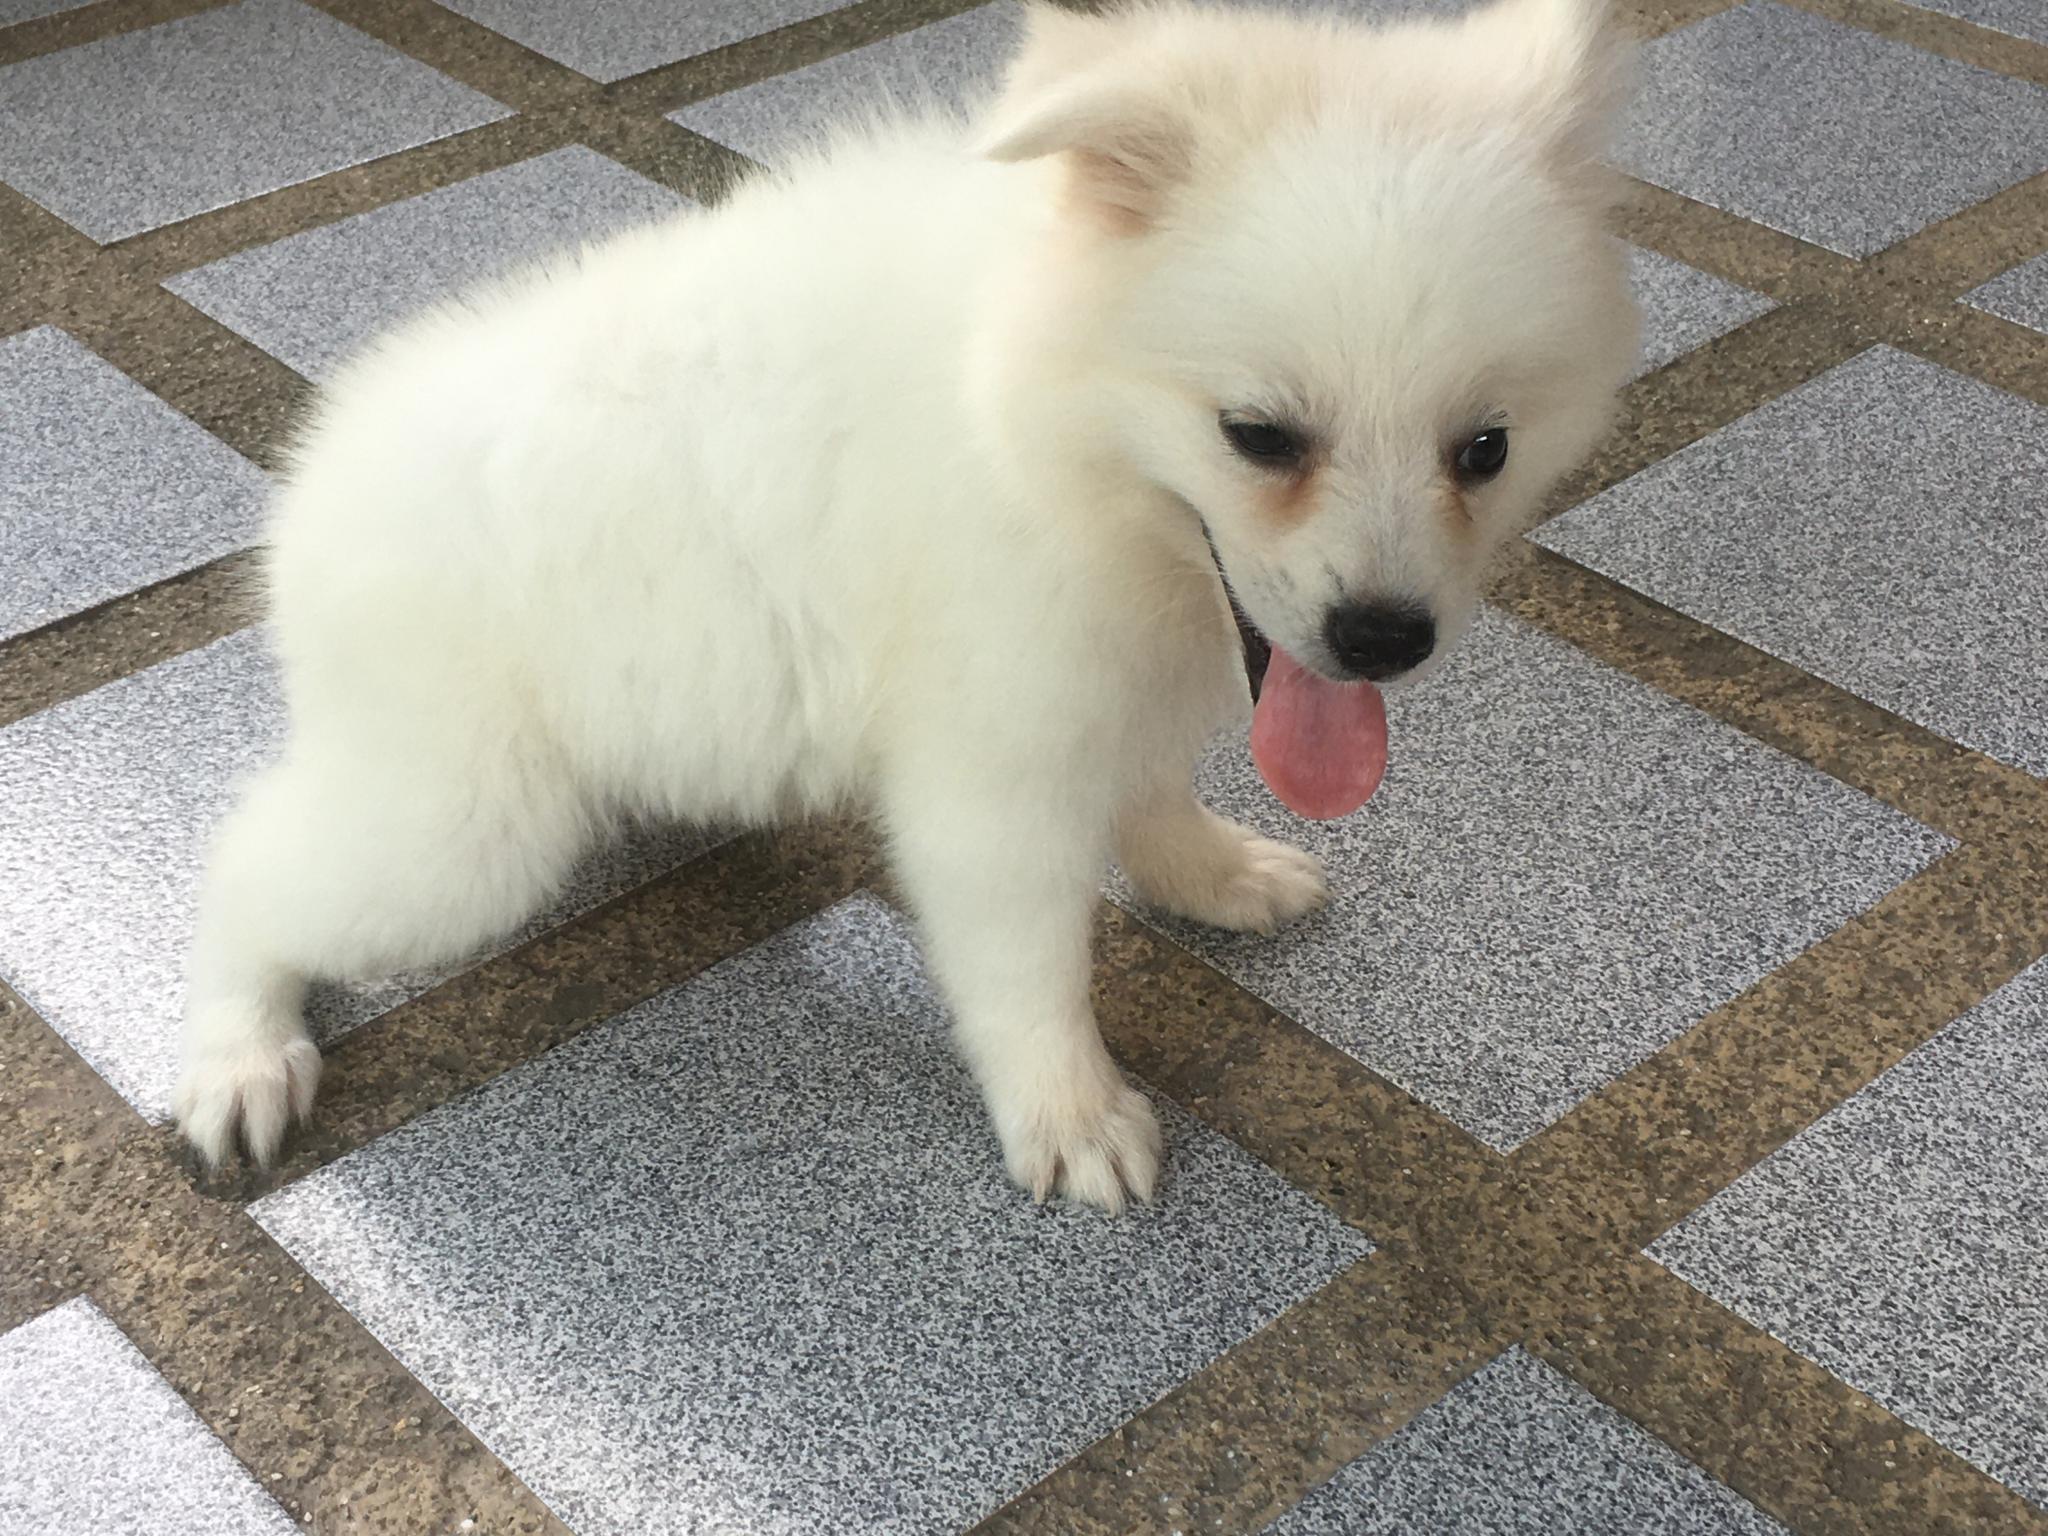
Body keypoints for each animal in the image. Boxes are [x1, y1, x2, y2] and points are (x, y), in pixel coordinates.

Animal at [174, 0, 1637, 1210]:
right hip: (463, 835)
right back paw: (239, 1055)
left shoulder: (1121, 681)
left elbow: (1156, 797)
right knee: (245, 862)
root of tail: (309, 494)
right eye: (1259, 436)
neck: (1033, 422)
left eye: (1484, 449)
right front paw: (1073, 1117)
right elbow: (1028, 968)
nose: (1384, 641)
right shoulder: (992, 773)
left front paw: (1215, 876)